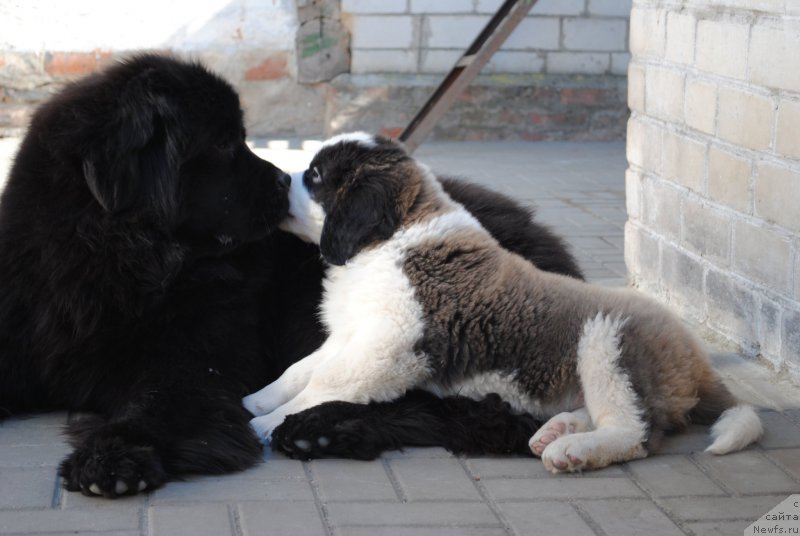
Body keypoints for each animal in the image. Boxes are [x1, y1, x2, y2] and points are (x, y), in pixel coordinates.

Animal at [1, 54, 580, 498]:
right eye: (223, 146)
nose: (284, 180)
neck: (115, 259)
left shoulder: (190, 365)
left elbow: (156, 404)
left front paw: (113, 459)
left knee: (442, 407)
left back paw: (313, 430)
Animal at [245, 134, 764, 474]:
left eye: (314, 176)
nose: (279, 179)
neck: (388, 240)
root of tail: (697, 360)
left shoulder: (388, 347)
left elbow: (325, 385)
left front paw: (270, 424)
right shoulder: (352, 334)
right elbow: (301, 370)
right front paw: (256, 400)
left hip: (608, 341)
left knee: (636, 433)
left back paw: (573, 451)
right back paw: (558, 430)